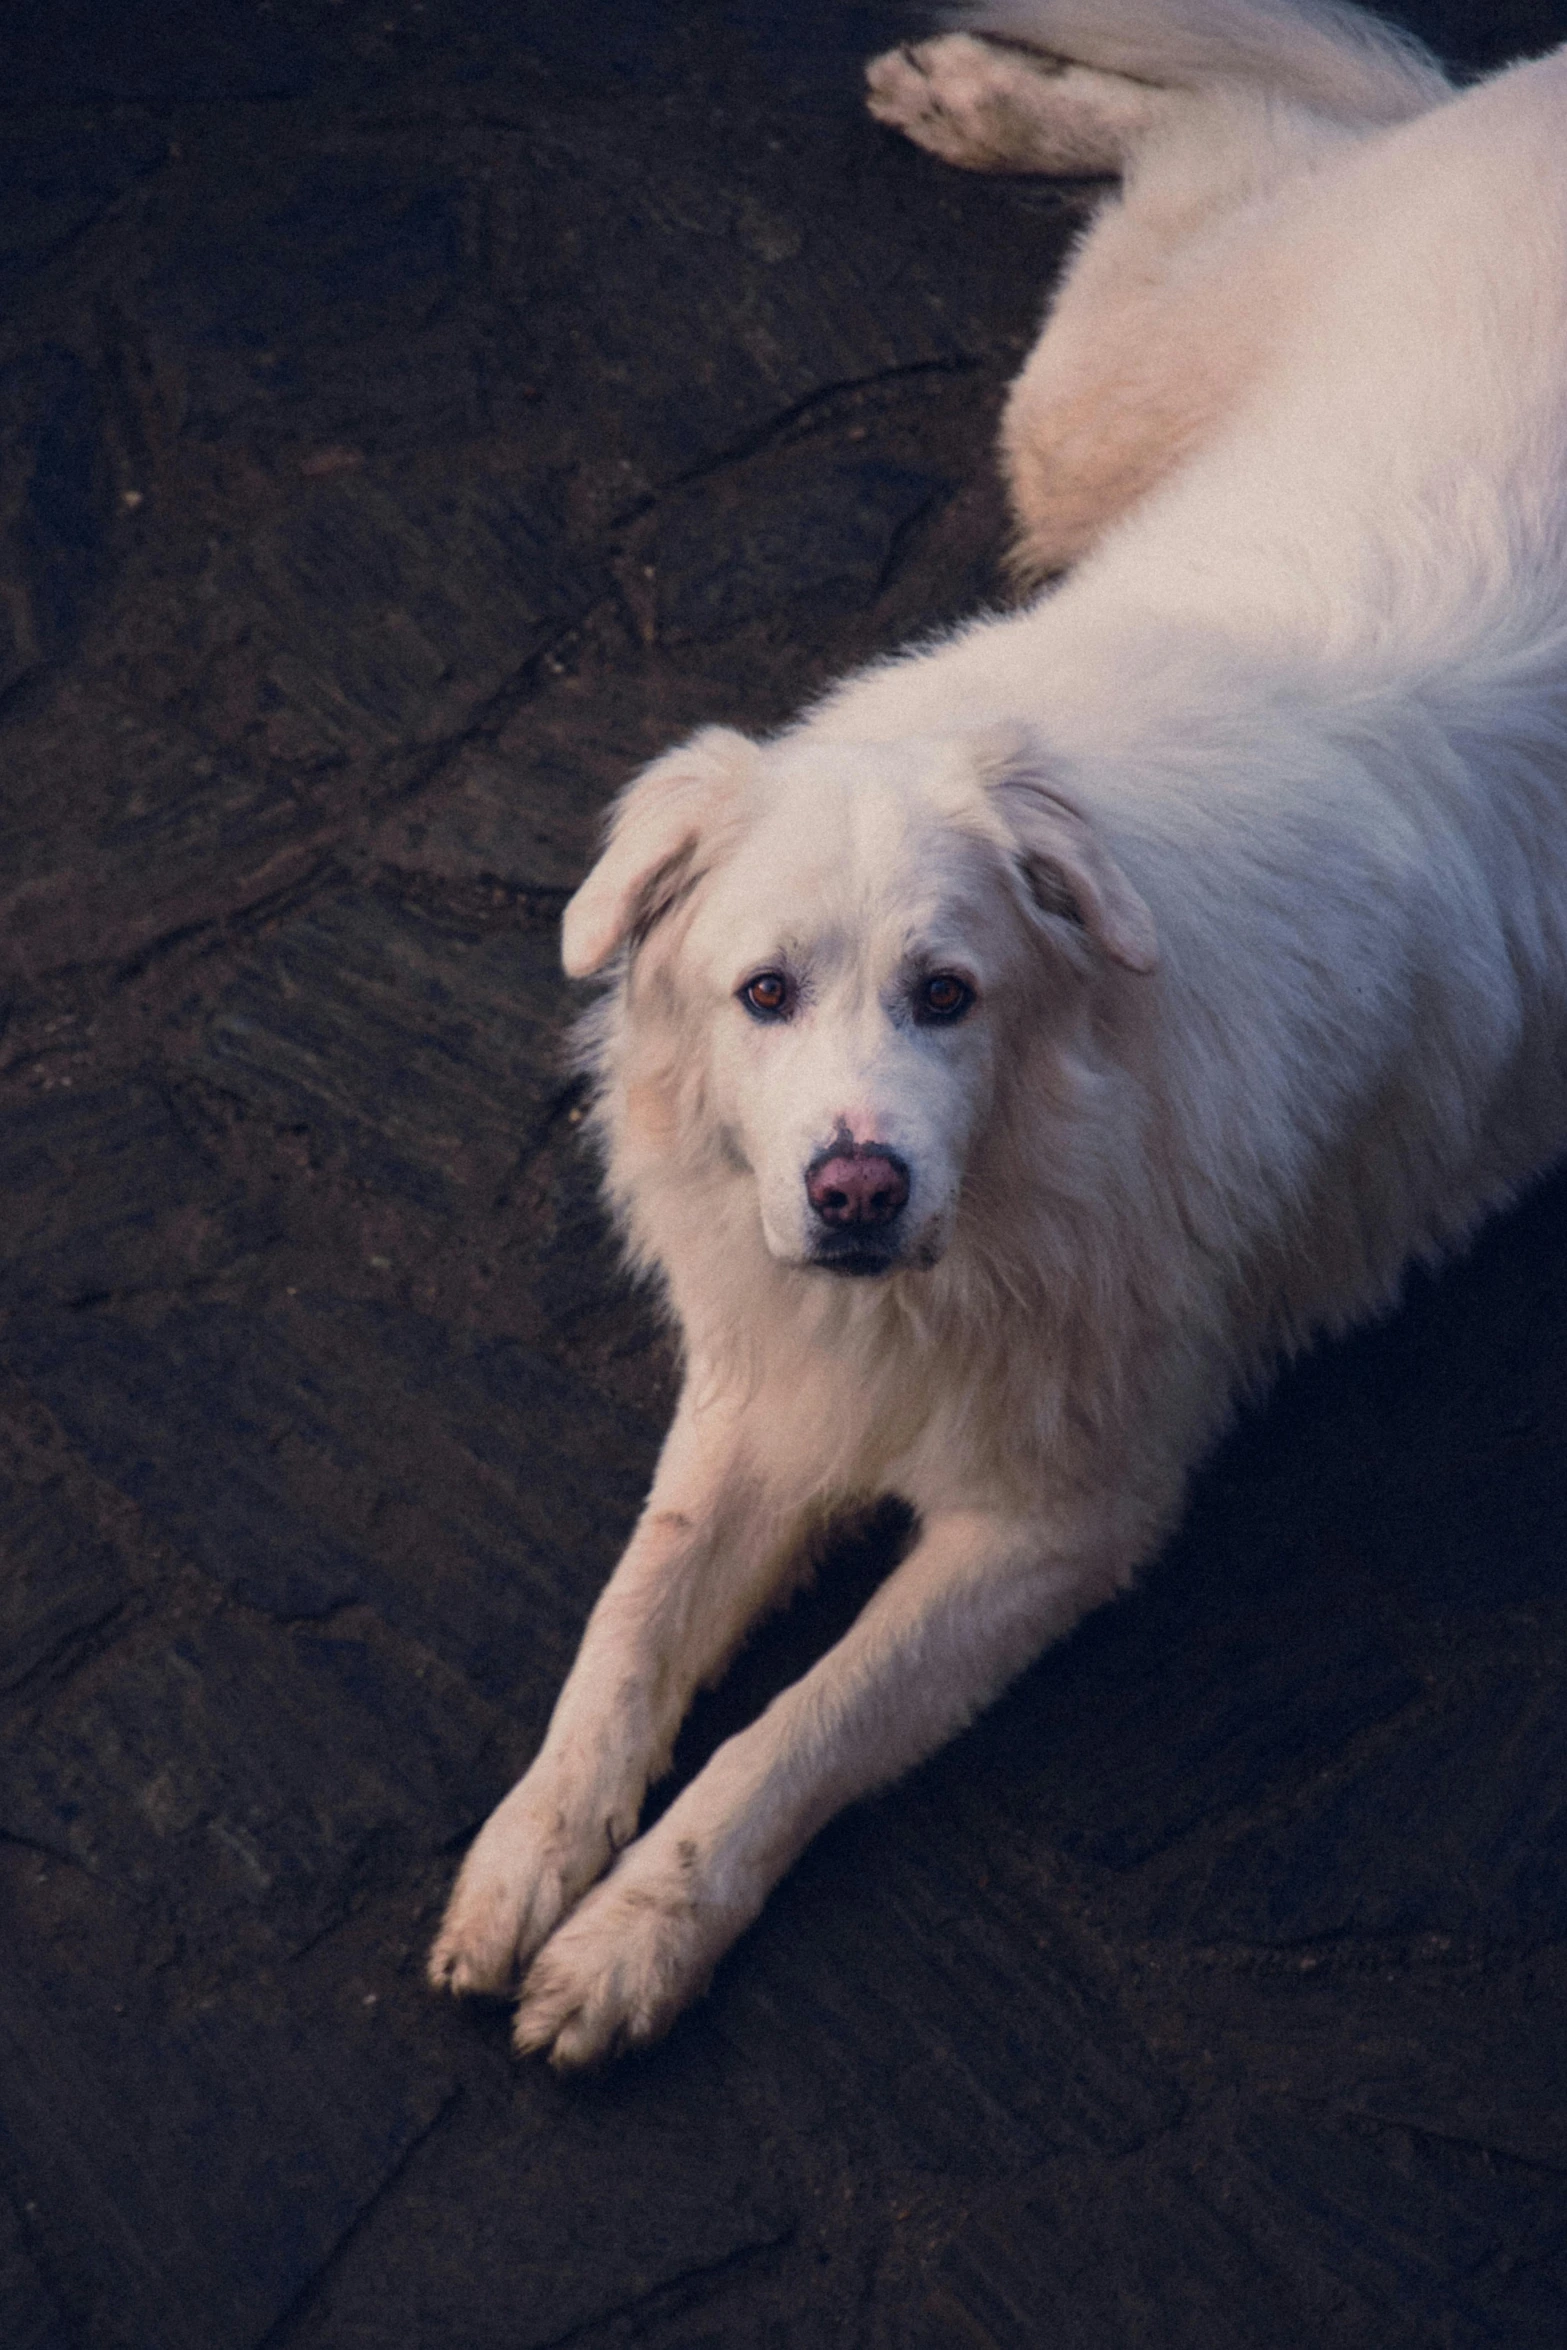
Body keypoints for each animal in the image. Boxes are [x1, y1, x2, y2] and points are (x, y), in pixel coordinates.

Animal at [425, 0, 1567, 2068]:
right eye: (764, 994)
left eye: (947, 994)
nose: (857, 1190)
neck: (1034, 1175)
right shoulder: (774, 1367)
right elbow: (631, 1624)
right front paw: (528, 1855)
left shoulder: (1061, 1520)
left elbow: (793, 1738)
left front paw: (631, 1941)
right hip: (1083, 422)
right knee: (1274, 110)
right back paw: (978, 95)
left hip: (1091, 396)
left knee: (1271, 109)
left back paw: (991, 98)